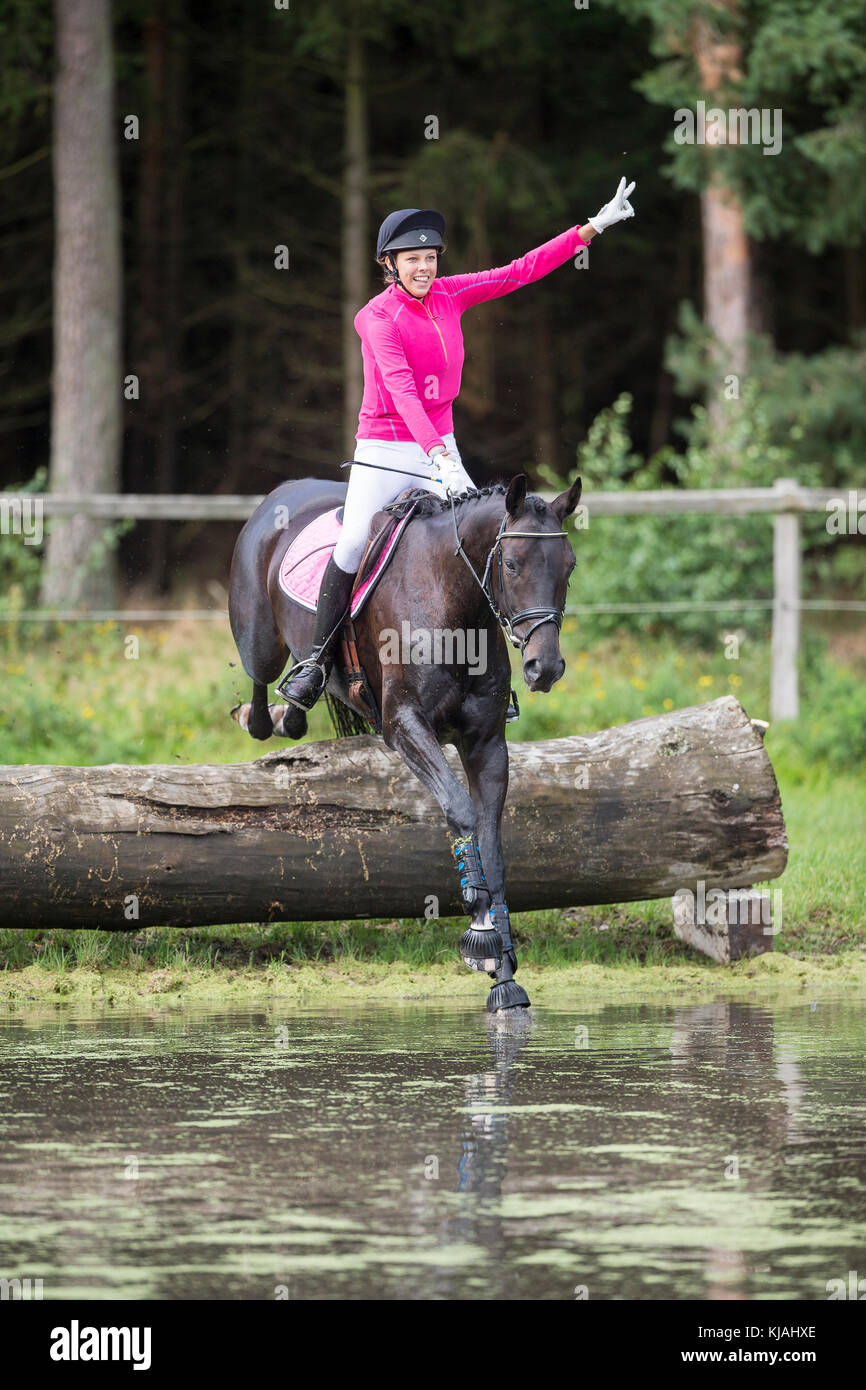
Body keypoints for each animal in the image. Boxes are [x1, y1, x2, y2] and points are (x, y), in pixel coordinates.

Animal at [228, 471, 582, 1012]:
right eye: (511, 564)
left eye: (569, 566)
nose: (545, 668)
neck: (455, 601)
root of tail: (286, 490)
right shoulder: (404, 726)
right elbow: (459, 810)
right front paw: (481, 932)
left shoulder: (486, 743)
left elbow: (492, 839)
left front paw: (504, 976)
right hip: (260, 641)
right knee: (261, 682)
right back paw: (273, 708)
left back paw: (295, 712)